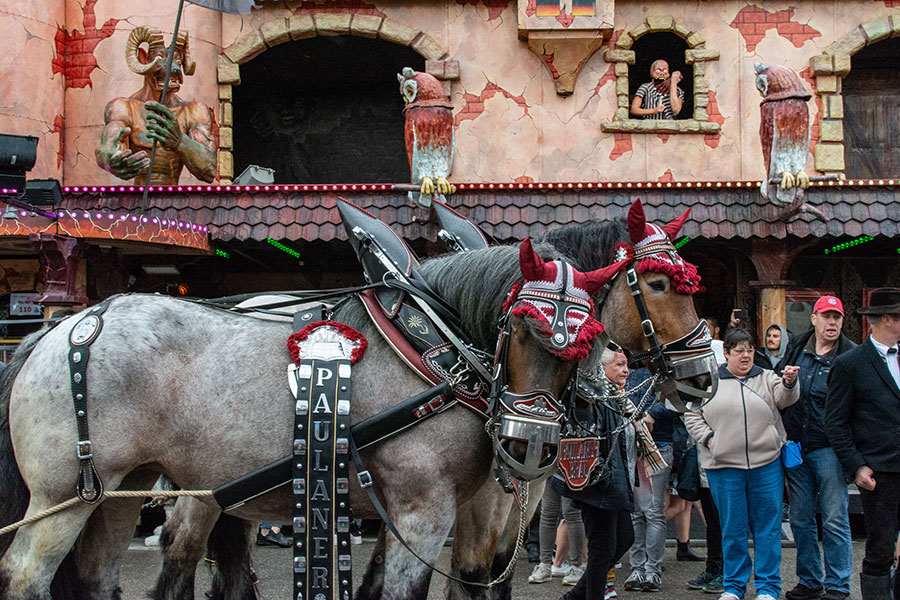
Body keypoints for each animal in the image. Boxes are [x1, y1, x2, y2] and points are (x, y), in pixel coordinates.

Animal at [0, 240, 612, 600]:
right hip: (64, 494)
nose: (529, 443)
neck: (436, 350)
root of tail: (61, 330)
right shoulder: (424, 507)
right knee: (26, 575)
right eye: (523, 328)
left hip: (118, 489)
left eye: (586, 342)